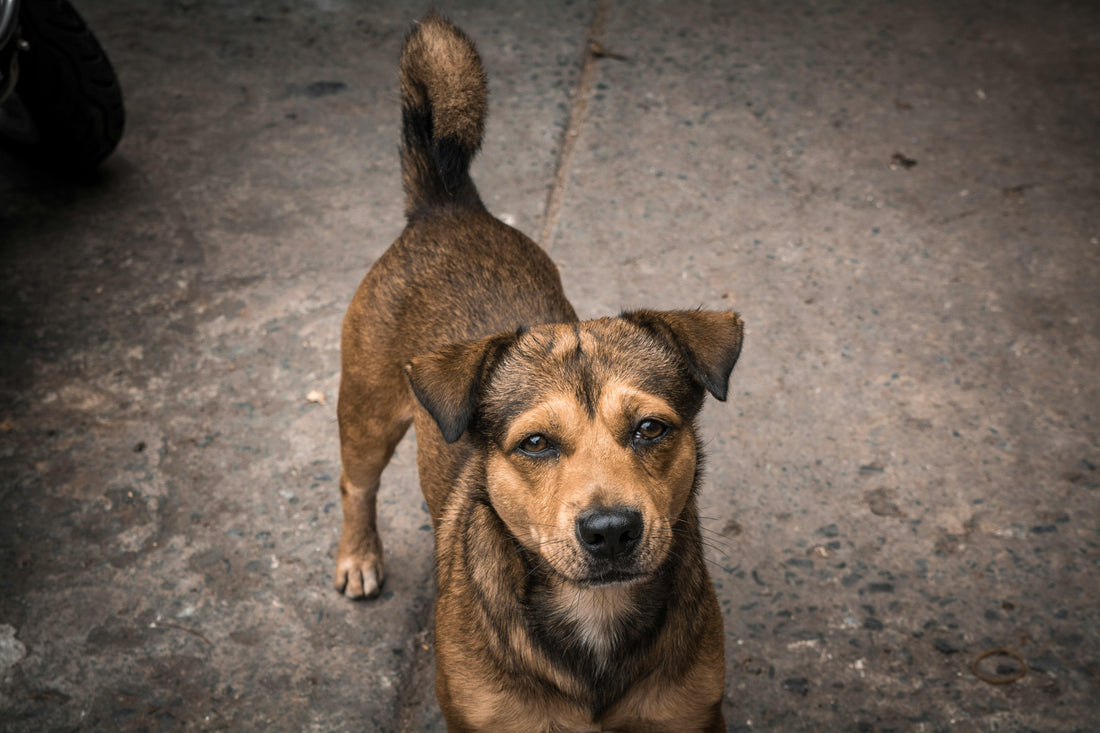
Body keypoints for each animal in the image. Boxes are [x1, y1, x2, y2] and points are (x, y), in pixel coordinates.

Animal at [334, 12, 743, 730]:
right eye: (535, 443)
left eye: (651, 429)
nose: (611, 531)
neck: (595, 621)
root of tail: (448, 205)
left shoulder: (692, 714)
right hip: (367, 408)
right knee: (355, 484)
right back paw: (359, 554)